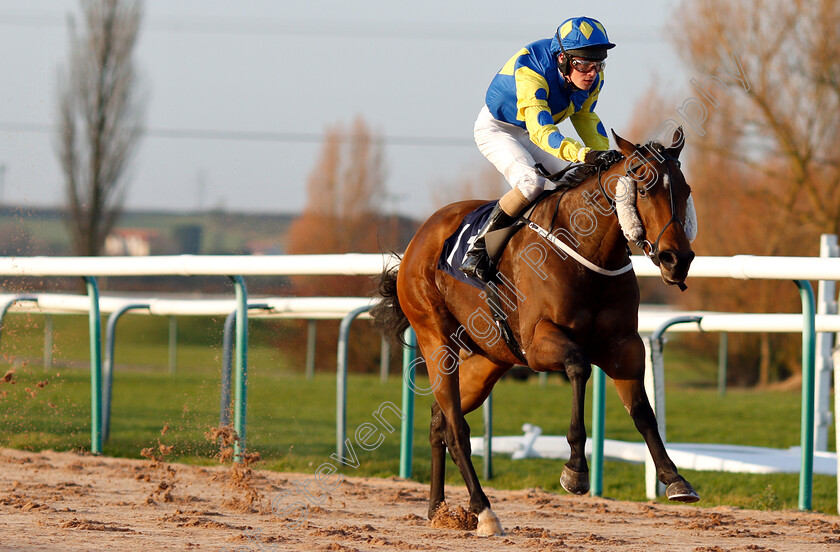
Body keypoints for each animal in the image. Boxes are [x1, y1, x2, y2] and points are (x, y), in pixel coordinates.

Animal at [372, 128, 696, 536]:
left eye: (685, 189)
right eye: (644, 189)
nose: (677, 259)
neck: (587, 251)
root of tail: (421, 235)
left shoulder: (624, 346)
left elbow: (642, 410)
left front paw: (674, 478)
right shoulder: (539, 343)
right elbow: (578, 367)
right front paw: (575, 470)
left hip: (487, 360)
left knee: (440, 420)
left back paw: (438, 509)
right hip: (435, 339)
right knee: (457, 429)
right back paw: (483, 511)